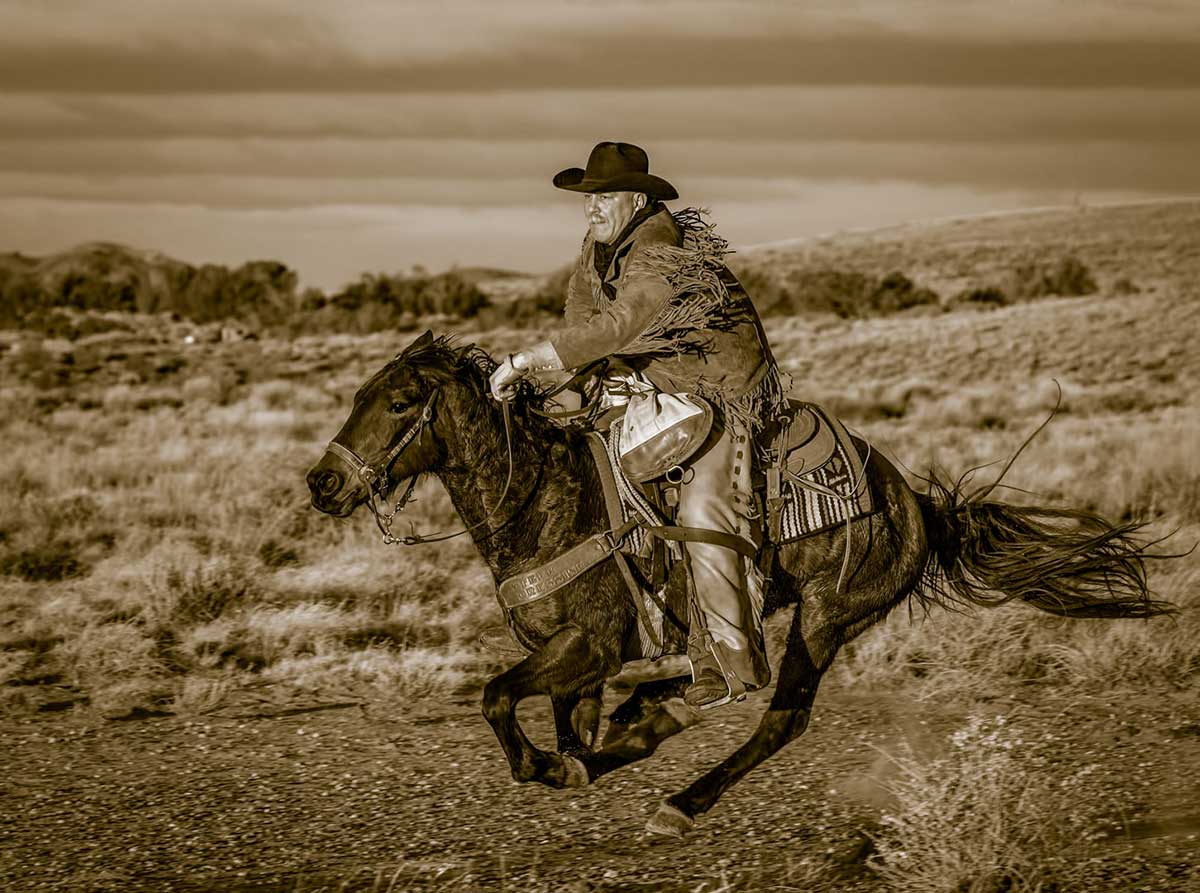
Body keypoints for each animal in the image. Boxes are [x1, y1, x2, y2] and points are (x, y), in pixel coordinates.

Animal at [304, 328, 1166, 835]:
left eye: (401, 402)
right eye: (358, 396)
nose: (322, 482)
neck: (544, 502)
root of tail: (911, 500)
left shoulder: (587, 645)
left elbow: (496, 697)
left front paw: (542, 764)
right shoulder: (579, 659)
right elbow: (571, 727)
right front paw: (580, 754)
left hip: (824, 618)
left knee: (782, 719)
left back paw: (682, 801)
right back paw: (655, 725)